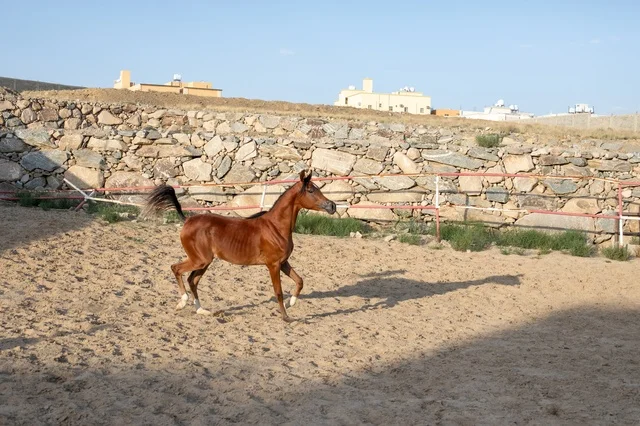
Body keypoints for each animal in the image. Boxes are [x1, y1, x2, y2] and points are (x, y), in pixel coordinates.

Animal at [143, 170, 337, 322]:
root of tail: (187, 220)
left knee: (193, 280)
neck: (276, 227)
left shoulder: (283, 263)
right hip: (199, 260)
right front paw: (286, 317)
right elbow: (279, 292)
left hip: (204, 261)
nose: (332, 206)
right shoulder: (273, 265)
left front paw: (292, 302)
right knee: (176, 268)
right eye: (311, 190)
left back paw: (201, 310)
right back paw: (182, 302)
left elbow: (300, 280)